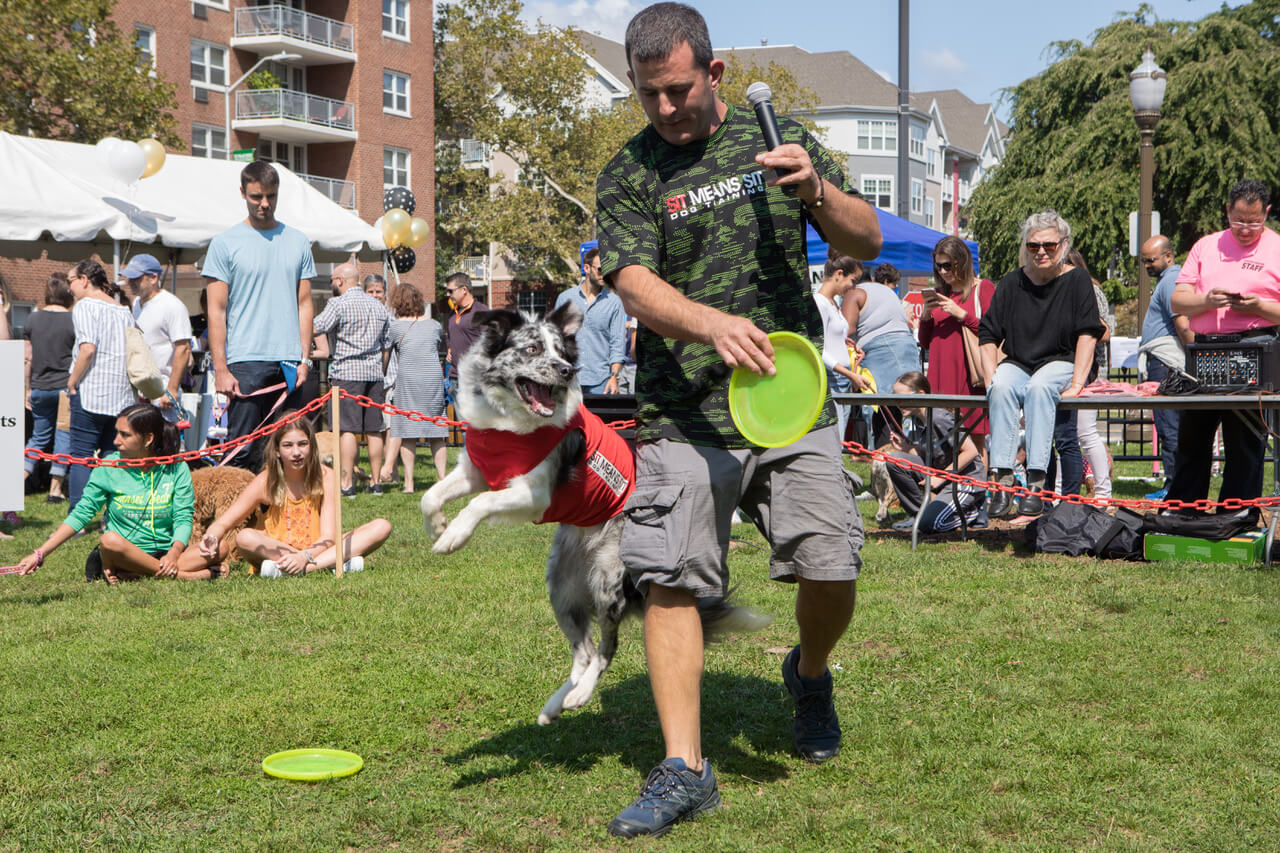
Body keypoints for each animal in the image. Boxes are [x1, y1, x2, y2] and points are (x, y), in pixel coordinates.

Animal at [422, 302, 768, 722]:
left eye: (561, 351)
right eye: (533, 349)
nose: (567, 371)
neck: (509, 421)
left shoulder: (535, 493)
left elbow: (480, 502)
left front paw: (454, 536)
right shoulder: (477, 470)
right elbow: (431, 495)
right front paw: (438, 525)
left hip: (608, 579)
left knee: (605, 650)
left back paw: (581, 694)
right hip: (560, 584)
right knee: (583, 652)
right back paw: (557, 704)